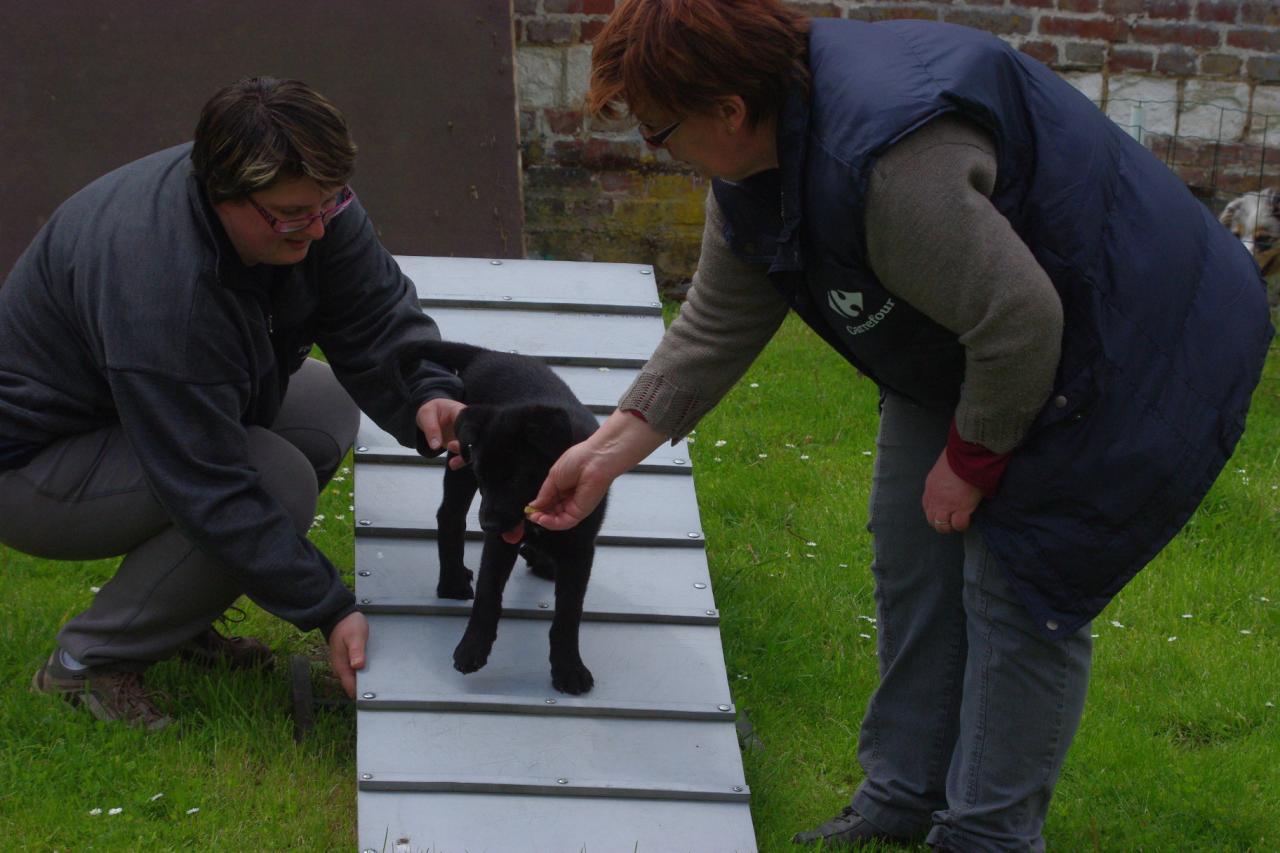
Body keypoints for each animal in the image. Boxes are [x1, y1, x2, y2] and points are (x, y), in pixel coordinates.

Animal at [427, 338, 606, 691]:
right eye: (484, 477)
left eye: (516, 478)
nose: (487, 524)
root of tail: (486, 354)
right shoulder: (500, 539)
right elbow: (488, 593)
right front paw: (472, 648)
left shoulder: (580, 548)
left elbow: (568, 612)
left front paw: (568, 668)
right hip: (459, 463)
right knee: (449, 516)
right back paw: (452, 581)